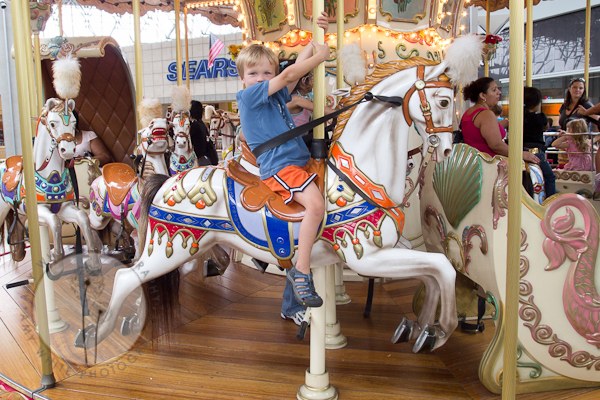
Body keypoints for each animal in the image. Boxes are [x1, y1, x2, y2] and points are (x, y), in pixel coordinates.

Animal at [0, 98, 102, 276]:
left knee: (18, 224)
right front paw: (55, 265)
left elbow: (83, 218)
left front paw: (93, 263)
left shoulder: (65, 208)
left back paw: (18, 253)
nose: (69, 150)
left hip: (18, 210)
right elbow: (54, 222)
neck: (51, 175)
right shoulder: (38, 210)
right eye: (53, 124)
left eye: (73, 123)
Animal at [74, 49, 477, 353]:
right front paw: (442, 330)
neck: (360, 173)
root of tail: (164, 183)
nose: (446, 148)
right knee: (126, 275)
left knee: (153, 275)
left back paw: (128, 319)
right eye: (444, 100)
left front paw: (419, 328)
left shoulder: (393, 248)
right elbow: (442, 267)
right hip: (169, 246)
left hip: (182, 244)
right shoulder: (366, 256)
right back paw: (95, 331)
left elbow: (432, 271)